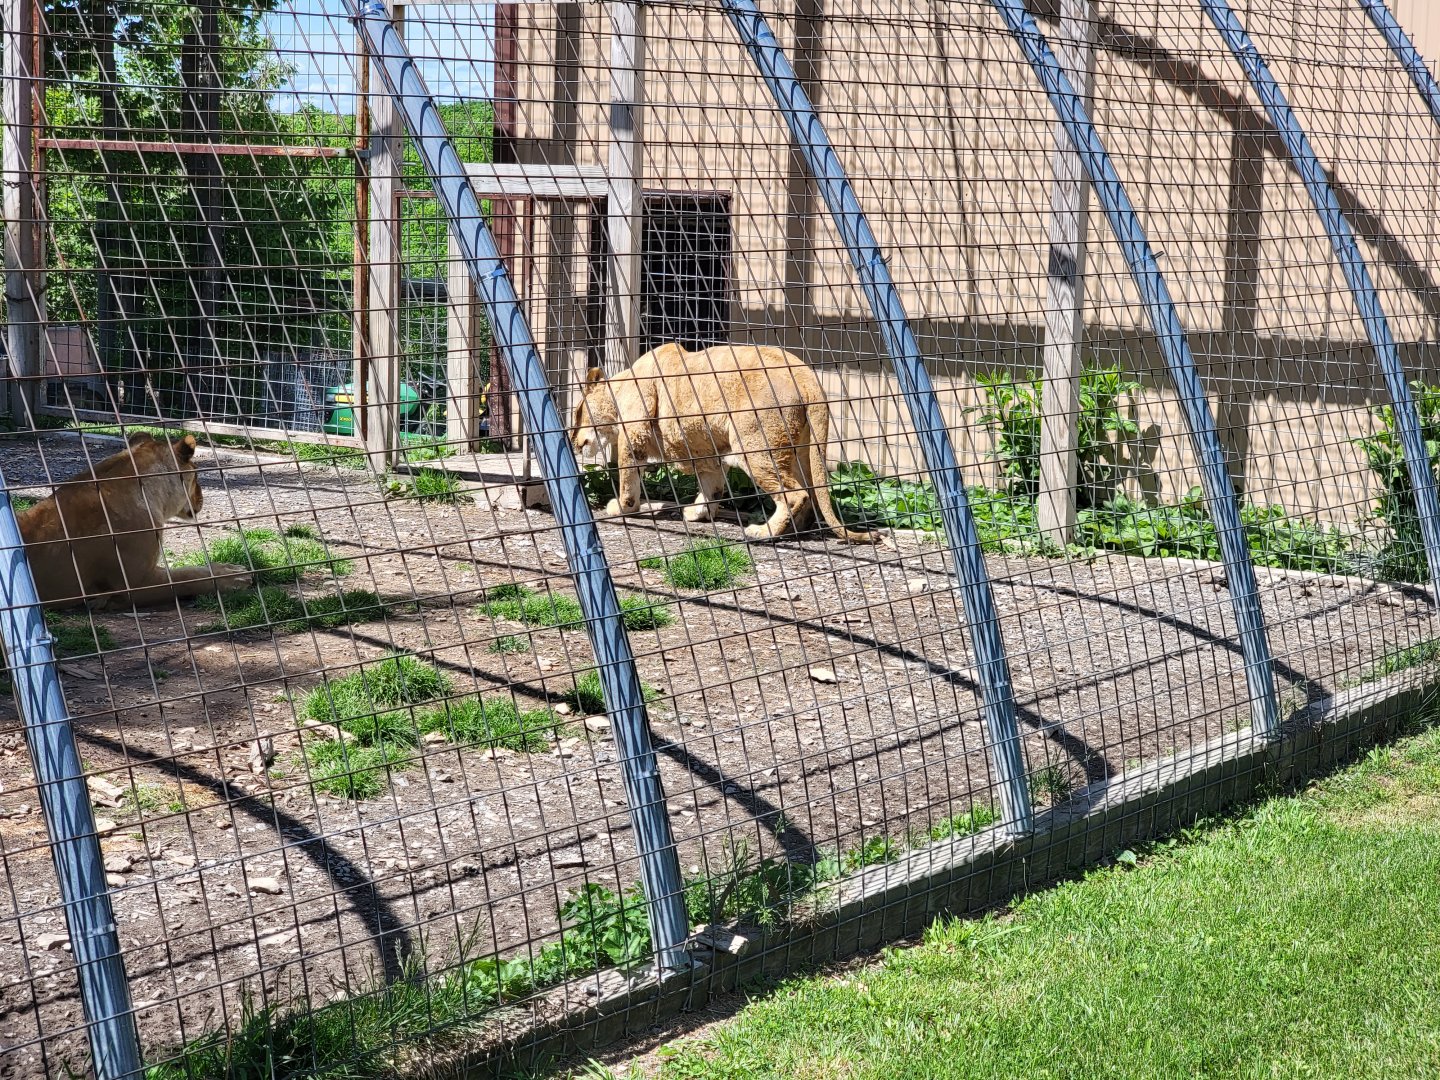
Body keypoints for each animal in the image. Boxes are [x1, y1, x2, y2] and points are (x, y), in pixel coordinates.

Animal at [571, 342, 875, 543]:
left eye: (577, 413)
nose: (573, 442)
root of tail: (808, 376)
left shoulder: (634, 434)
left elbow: (628, 481)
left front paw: (621, 508)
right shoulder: (707, 449)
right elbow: (712, 486)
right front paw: (699, 512)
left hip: (755, 446)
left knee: (795, 494)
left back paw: (765, 532)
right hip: (800, 451)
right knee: (810, 493)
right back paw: (795, 530)